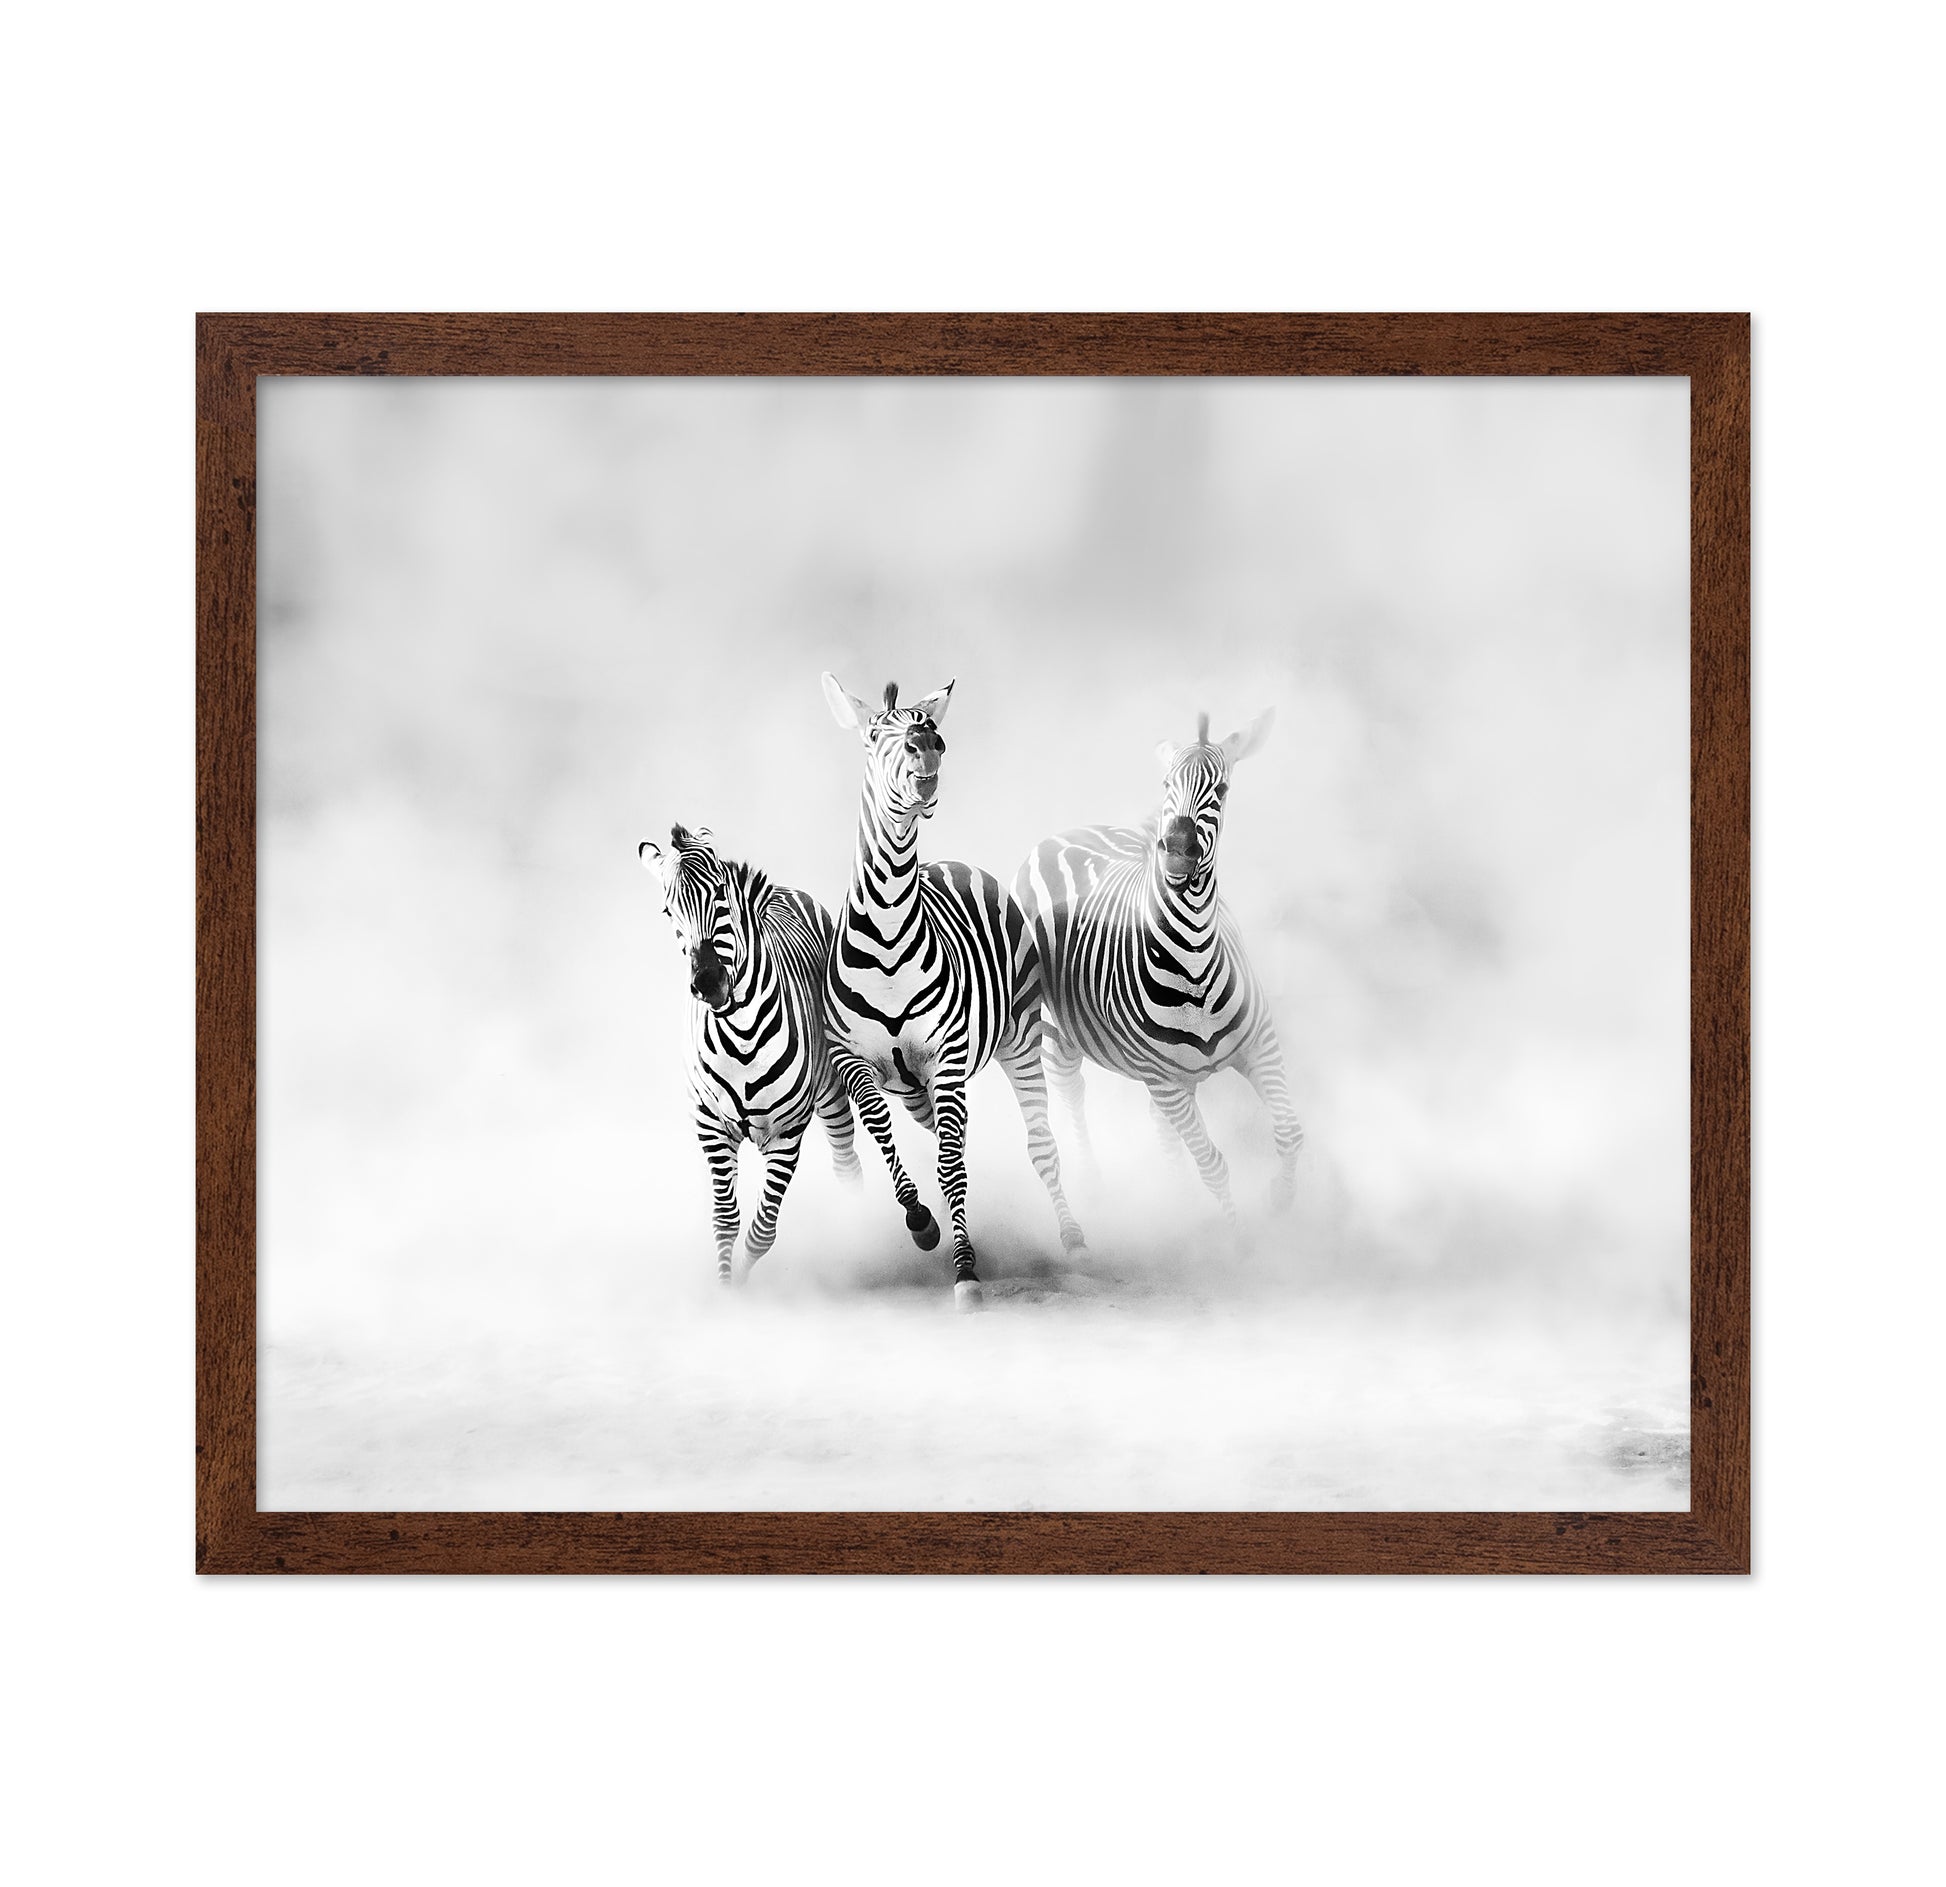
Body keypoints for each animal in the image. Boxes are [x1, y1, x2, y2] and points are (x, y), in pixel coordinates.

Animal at [639, 823, 861, 1283]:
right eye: (668, 912)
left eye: (721, 893)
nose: (708, 983)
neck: (741, 1035)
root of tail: (783, 890)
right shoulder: (711, 1127)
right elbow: (726, 1220)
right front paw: (728, 1288)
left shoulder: (787, 1132)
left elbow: (762, 1230)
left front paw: (741, 1278)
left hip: (831, 1091)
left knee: (847, 1165)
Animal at [821, 674, 1086, 1309]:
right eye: (874, 735)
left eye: (929, 726)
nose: (929, 746)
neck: (888, 931)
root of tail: (955, 863)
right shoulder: (853, 1060)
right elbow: (883, 1132)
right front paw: (922, 1222)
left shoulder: (945, 1057)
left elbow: (950, 1165)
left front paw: (966, 1269)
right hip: (916, 1085)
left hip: (1019, 1039)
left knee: (1038, 1143)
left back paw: (1073, 1240)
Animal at [1014, 710, 1302, 1225]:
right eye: (1167, 783)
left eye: (1222, 789)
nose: (1178, 850)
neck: (1194, 960)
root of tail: (1065, 834)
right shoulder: (1164, 1081)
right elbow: (1213, 1165)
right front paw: (1238, 1236)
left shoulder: (1259, 1044)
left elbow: (1289, 1130)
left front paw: (1281, 1199)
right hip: (1055, 1026)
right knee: (1070, 1089)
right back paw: (1096, 1188)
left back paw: (1175, 1197)